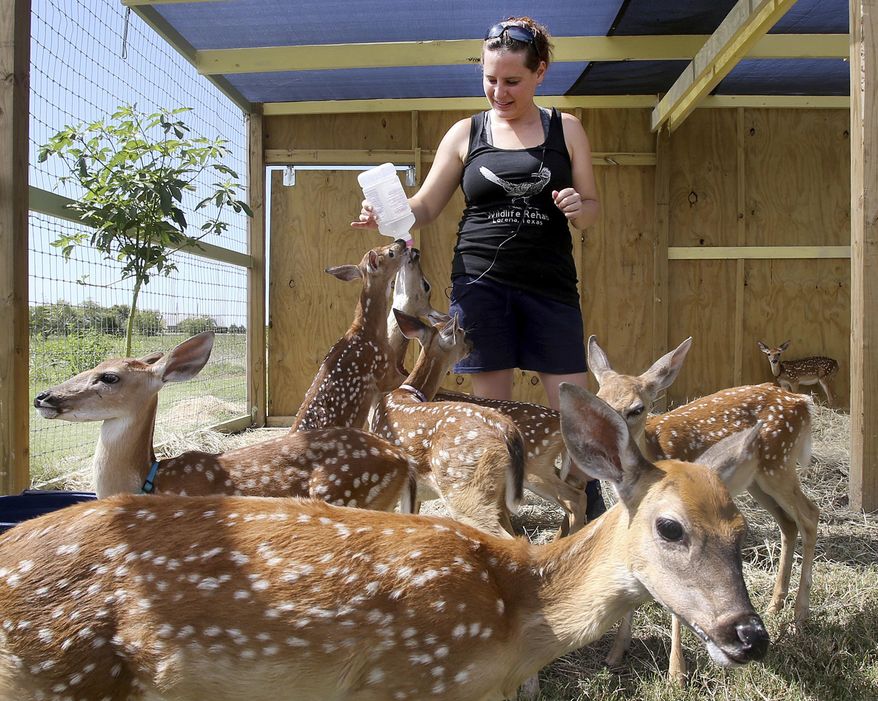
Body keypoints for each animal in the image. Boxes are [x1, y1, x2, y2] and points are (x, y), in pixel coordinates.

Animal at [0, 383, 769, 701]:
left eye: (742, 531)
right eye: (670, 526)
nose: (749, 635)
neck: (514, 621)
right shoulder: (405, 678)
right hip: (69, 675)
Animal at [33, 331, 417, 513]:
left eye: (109, 377)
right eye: (93, 365)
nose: (43, 397)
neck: (149, 481)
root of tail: (402, 460)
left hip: (347, 495)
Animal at [371, 310, 525, 539]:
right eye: (462, 332)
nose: (472, 343)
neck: (407, 392)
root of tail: (507, 429)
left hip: (461, 483)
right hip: (496, 491)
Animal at [585, 336, 817, 683]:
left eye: (636, 408)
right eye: (598, 398)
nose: (604, 438)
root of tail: (802, 400)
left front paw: (676, 674)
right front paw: (615, 654)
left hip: (779, 465)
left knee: (810, 515)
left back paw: (800, 617)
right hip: (757, 479)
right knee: (787, 524)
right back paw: (776, 604)